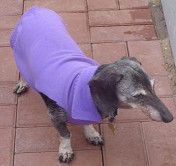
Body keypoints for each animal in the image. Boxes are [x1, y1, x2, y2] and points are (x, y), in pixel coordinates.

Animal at [11, 6, 173, 162]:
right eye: (138, 95)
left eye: (153, 86)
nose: (170, 118)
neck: (81, 89)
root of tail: (35, 9)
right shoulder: (55, 115)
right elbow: (65, 134)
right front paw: (66, 150)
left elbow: (87, 123)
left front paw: (91, 134)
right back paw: (22, 83)